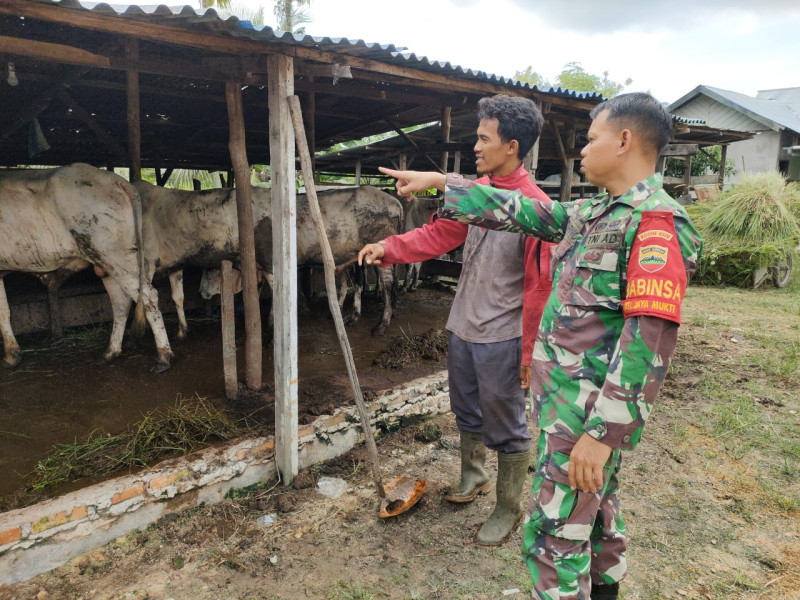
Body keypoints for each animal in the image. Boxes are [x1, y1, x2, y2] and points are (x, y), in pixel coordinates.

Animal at [0, 164, 173, 370]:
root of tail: (118, 180)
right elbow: (3, 310)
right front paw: (11, 355)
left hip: (115, 256)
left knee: (148, 296)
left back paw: (164, 356)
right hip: (107, 262)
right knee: (120, 301)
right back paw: (111, 351)